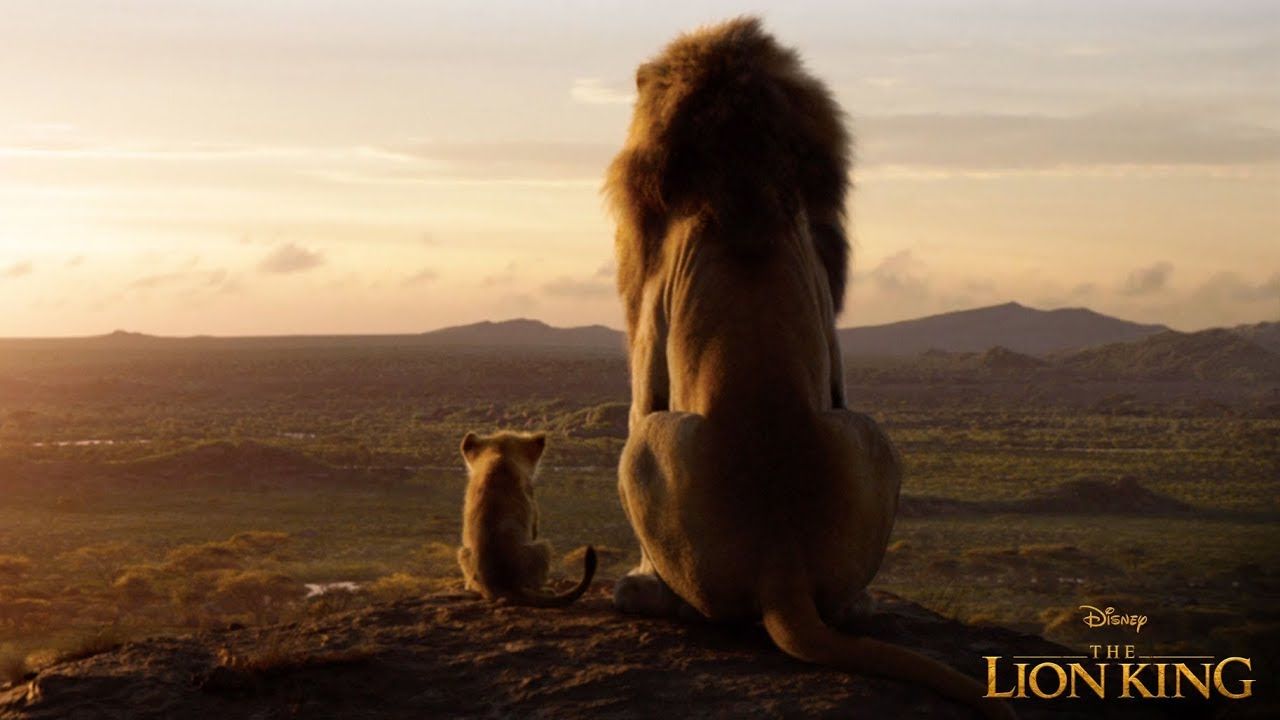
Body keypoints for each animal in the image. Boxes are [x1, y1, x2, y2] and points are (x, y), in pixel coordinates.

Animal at [457, 431, 597, 607]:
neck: (500, 456)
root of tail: (503, 585)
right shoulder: (531, 500)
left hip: (462, 551)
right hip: (543, 547)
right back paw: (546, 589)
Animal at [604, 17, 1012, 719]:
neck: (739, 165)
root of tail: (782, 563)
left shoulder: (648, 314)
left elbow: (638, 392)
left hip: (649, 447)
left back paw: (642, 592)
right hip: (869, 429)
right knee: (843, 602)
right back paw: (866, 602)